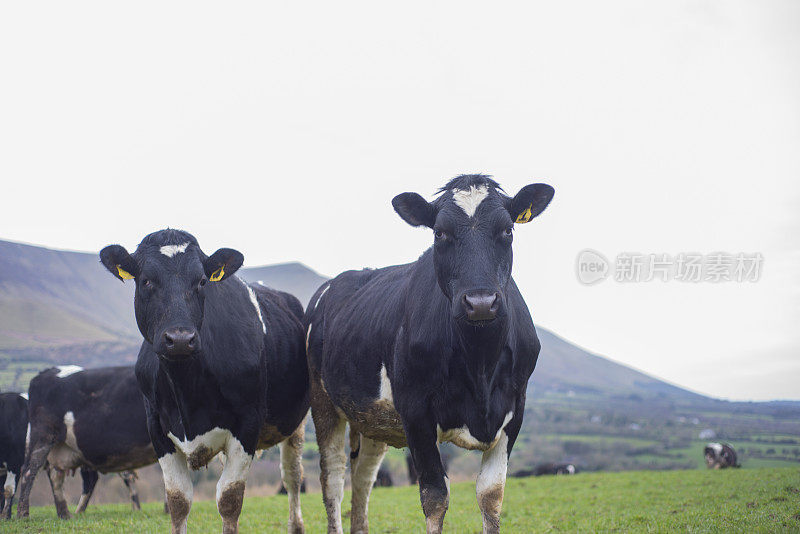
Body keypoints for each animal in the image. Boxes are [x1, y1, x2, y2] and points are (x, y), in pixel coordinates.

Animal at [16, 366, 157, 520]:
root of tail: (46, 372)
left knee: (58, 476)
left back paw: (66, 514)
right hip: (43, 436)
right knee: (29, 470)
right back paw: (23, 515)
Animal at [97, 230, 310, 534]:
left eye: (201, 281)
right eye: (146, 280)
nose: (180, 339)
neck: (186, 388)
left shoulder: (247, 424)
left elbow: (230, 499)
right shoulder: (156, 428)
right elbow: (178, 501)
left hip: (297, 422)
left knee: (292, 476)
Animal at [304, 174, 552, 532]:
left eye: (507, 230)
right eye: (439, 232)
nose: (480, 303)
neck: (480, 363)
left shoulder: (514, 410)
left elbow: (491, 495)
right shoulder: (415, 411)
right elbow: (435, 496)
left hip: (373, 419)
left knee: (363, 479)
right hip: (322, 400)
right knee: (333, 480)